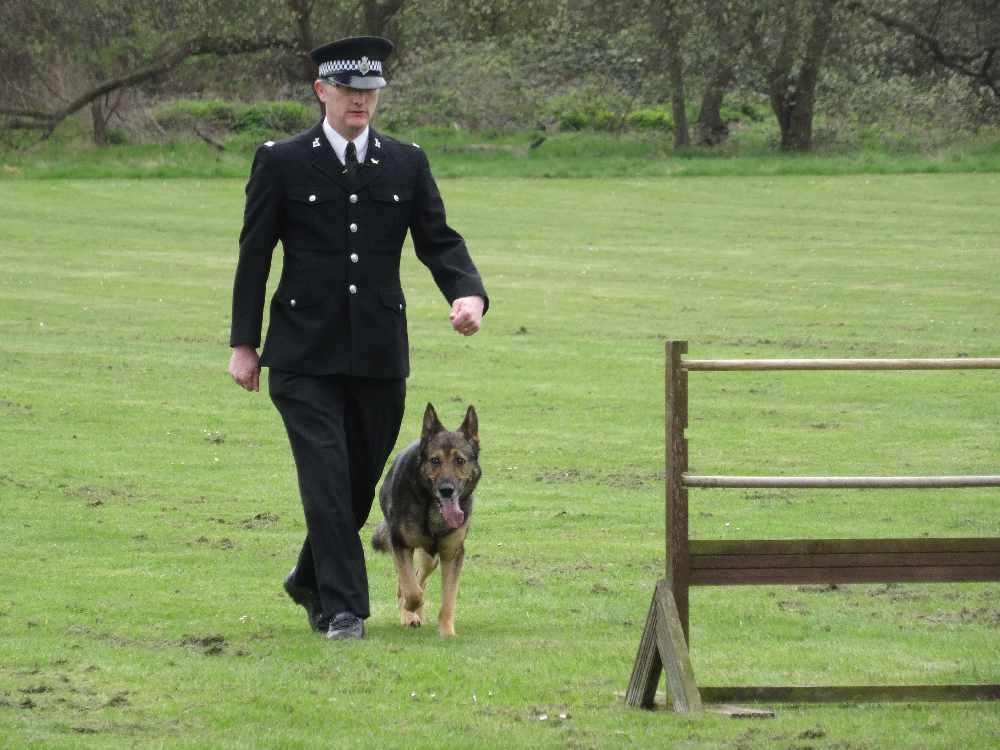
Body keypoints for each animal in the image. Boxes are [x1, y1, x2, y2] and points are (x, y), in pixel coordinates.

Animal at [376, 402, 484, 636]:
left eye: (459, 460)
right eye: (435, 461)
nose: (446, 490)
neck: (432, 509)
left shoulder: (452, 553)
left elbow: (448, 598)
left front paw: (446, 632)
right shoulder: (400, 545)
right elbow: (411, 591)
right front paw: (408, 610)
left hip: (430, 558)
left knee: (420, 578)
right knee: (409, 583)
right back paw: (410, 615)